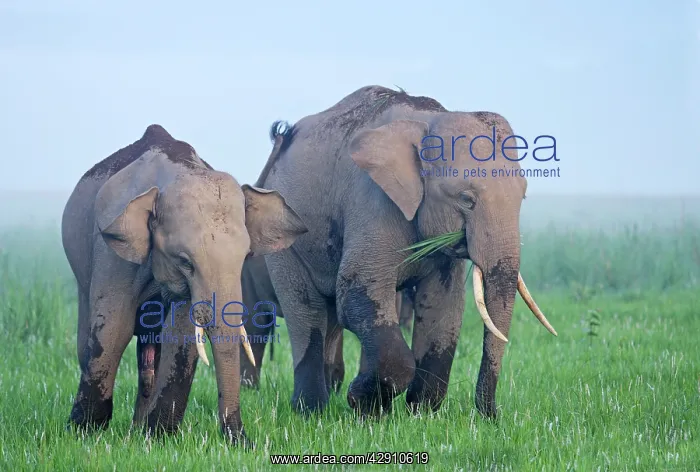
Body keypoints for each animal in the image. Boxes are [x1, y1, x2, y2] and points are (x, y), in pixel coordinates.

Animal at [61, 124, 307, 445]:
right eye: (185, 261)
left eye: (245, 258)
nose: (244, 440)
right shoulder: (111, 252)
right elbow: (115, 326)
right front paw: (85, 434)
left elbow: (180, 335)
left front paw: (157, 438)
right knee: (88, 337)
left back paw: (138, 430)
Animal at [250, 85, 557, 419]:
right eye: (466, 199)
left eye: (523, 196)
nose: (491, 416)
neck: (431, 121)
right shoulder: (371, 199)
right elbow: (357, 291)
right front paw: (362, 402)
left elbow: (443, 306)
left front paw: (419, 414)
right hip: (287, 233)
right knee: (308, 311)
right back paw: (311, 411)